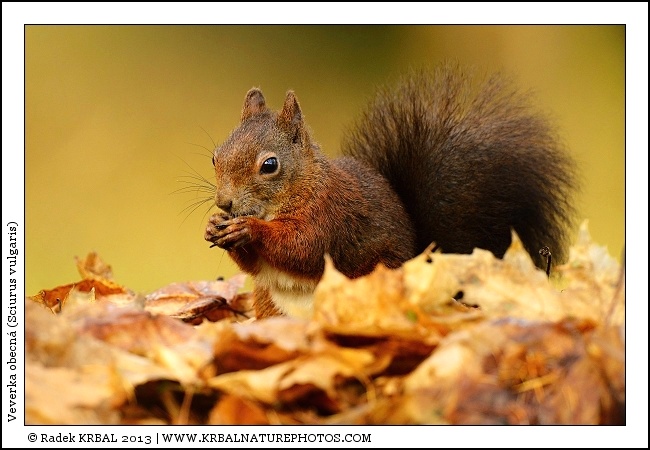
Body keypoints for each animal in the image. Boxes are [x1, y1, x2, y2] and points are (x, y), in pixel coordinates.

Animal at [204, 64, 577, 319]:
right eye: (215, 157)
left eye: (270, 165)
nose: (225, 202)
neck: (301, 186)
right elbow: (255, 266)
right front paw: (214, 226)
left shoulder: (330, 214)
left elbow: (302, 247)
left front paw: (249, 229)